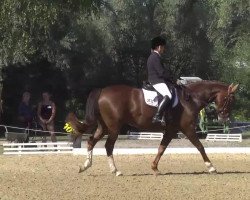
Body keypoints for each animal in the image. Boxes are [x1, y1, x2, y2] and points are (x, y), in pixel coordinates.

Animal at [66, 80, 238, 176]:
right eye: (229, 99)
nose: (224, 118)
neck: (191, 99)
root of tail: (102, 91)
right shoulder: (187, 128)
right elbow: (200, 146)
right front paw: (211, 167)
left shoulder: (171, 130)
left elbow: (161, 148)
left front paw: (155, 168)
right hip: (114, 128)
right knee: (108, 146)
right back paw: (116, 171)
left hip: (104, 127)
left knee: (91, 142)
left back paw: (85, 166)